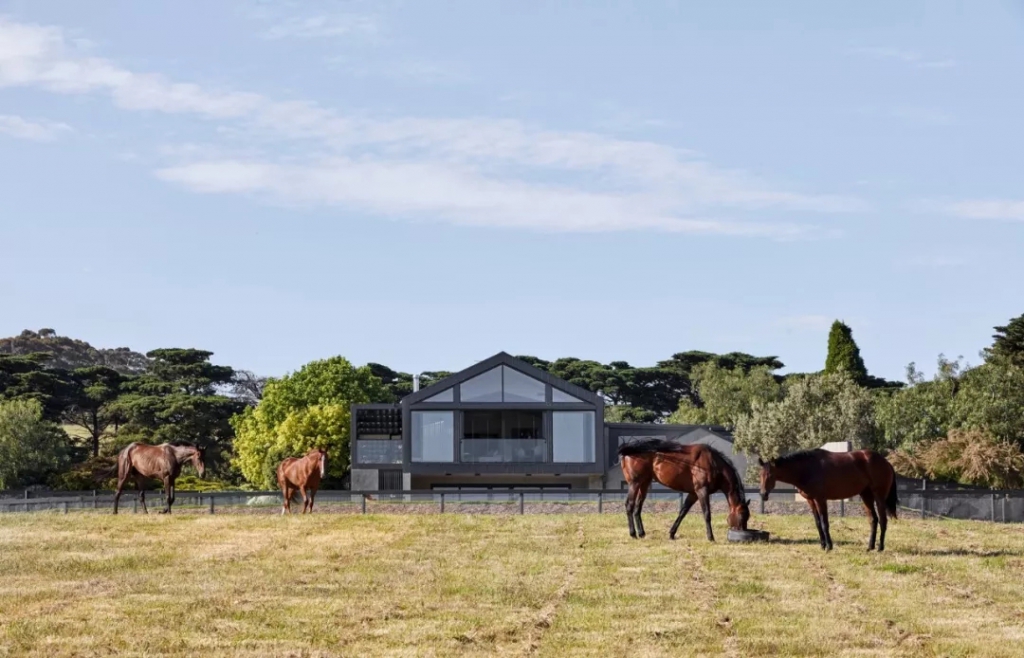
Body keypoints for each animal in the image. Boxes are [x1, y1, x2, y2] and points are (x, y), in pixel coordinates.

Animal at [614, 440, 753, 544]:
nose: (742, 533)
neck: (712, 463)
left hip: (644, 484)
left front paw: (672, 533)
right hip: (634, 484)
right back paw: (633, 534)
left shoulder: (693, 494)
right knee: (629, 505)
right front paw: (711, 537)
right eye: (742, 515)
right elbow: (707, 514)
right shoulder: (702, 491)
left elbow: (683, 512)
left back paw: (641, 533)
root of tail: (628, 452)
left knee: (638, 507)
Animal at [757, 450, 901, 552]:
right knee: (873, 520)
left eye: (771, 476)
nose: (763, 494)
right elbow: (817, 523)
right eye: (760, 475)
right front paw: (822, 545)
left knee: (883, 520)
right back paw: (870, 547)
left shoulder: (820, 499)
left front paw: (829, 546)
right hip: (866, 496)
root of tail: (886, 463)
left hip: (879, 497)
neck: (807, 468)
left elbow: (824, 523)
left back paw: (880, 547)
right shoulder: (811, 501)